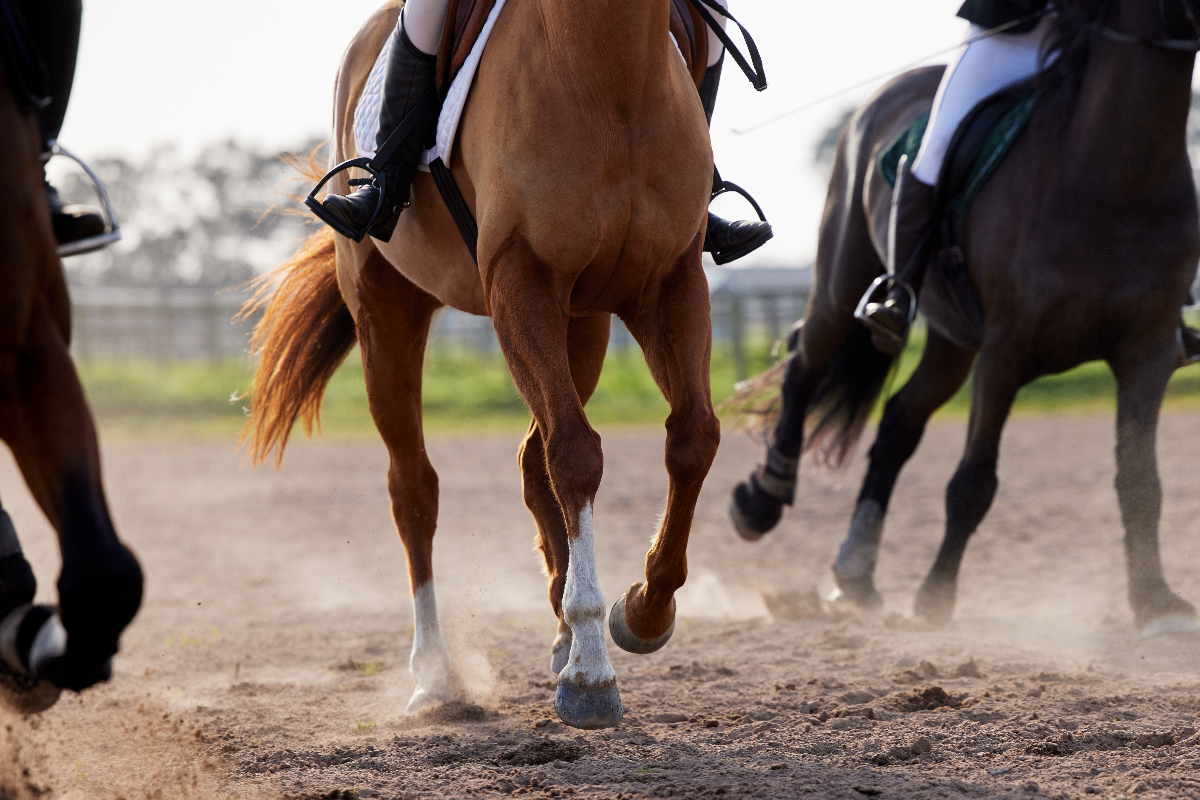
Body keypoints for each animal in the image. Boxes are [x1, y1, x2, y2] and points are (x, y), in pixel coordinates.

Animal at [242, 0, 720, 729]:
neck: (608, 69)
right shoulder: (520, 281)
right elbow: (576, 455)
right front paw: (591, 674)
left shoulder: (670, 283)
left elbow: (692, 437)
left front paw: (641, 612)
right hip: (388, 309)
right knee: (414, 487)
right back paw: (436, 677)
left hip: (582, 324)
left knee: (531, 458)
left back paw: (560, 624)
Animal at [730, 0, 1200, 637]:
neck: (1119, 170)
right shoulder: (1006, 351)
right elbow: (973, 482)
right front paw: (935, 597)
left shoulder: (1147, 351)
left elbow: (1140, 479)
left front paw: (1155, 602)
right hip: (842, 279)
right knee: (806, 363)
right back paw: (762, 501)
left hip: (952, 341)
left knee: (898, 421)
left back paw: (855, 571)